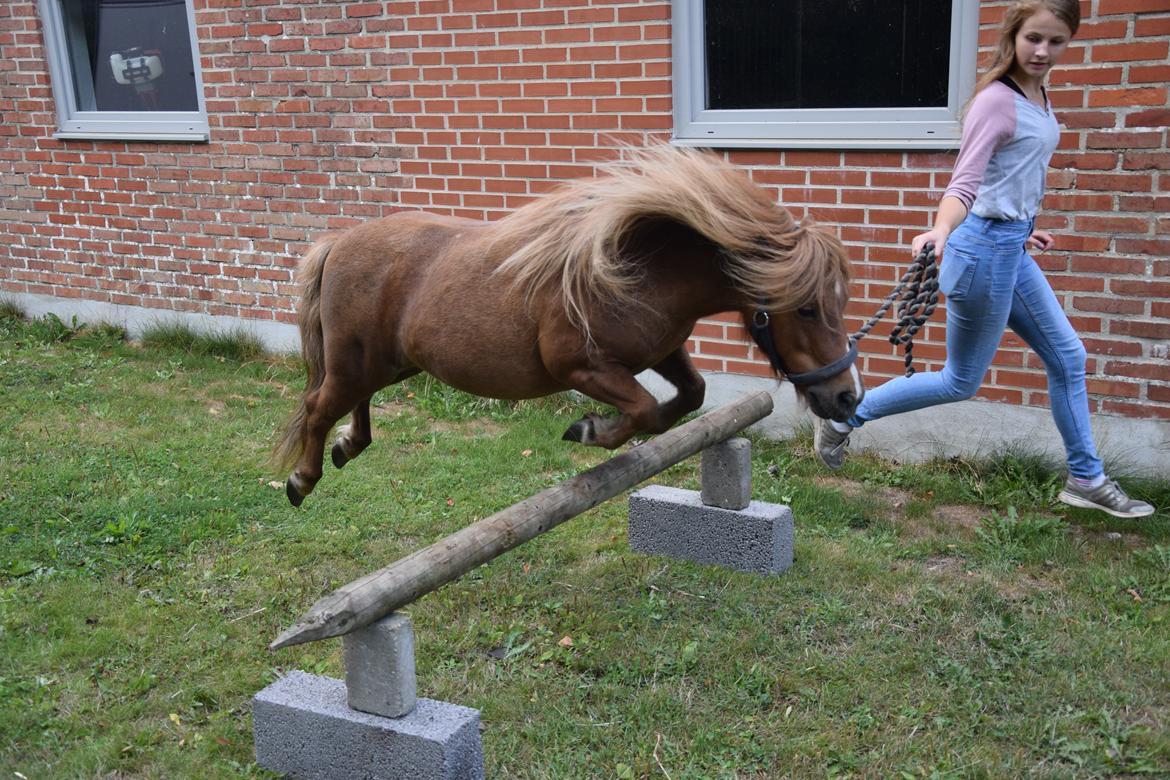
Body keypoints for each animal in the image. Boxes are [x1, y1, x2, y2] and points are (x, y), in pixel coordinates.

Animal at [273, 145, 861, 507]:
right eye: (807, 308)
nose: (847, 397)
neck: (638, 270)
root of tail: (339, 243)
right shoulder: (579, 366)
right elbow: (645, 410)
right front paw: (590, 430)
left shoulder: (663, 353)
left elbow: (691, 394)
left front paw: (604, 429)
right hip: (358, 363)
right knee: (318, 407)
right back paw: (303, 478)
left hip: (390, 365)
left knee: (349, 404)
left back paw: (348, 446)